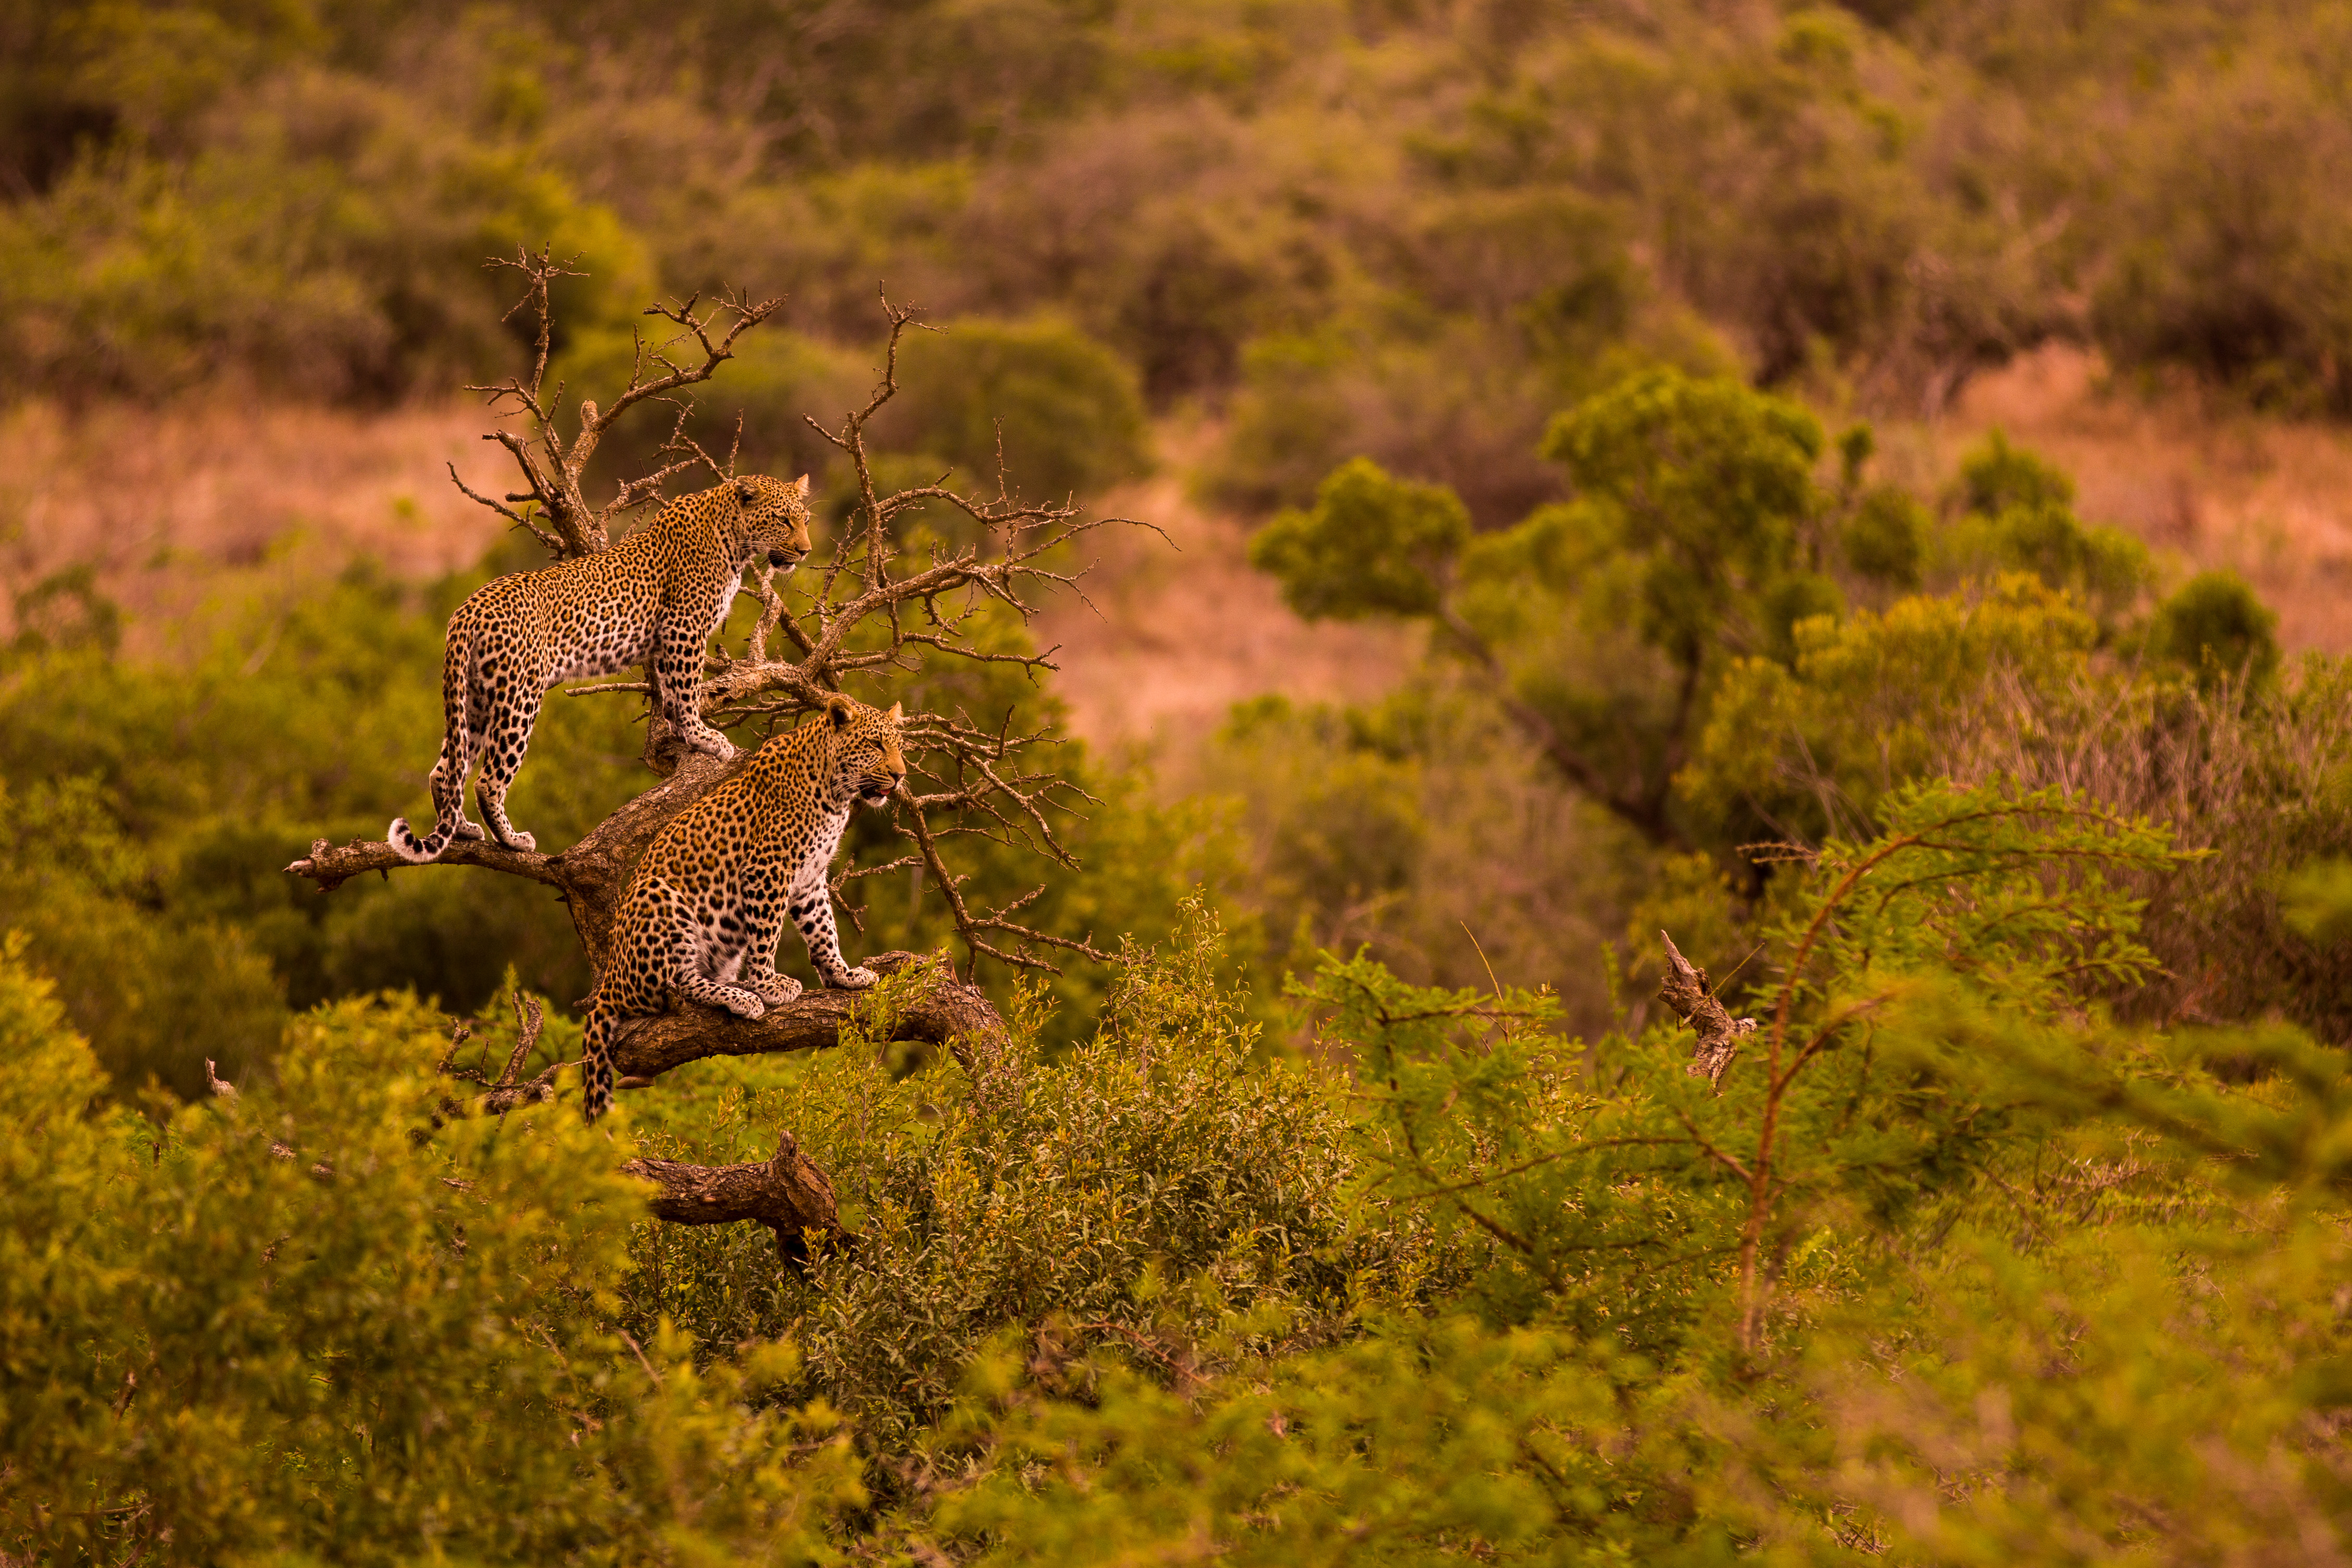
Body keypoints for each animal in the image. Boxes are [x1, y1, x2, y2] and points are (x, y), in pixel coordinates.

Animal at [388, 473, 816, 863]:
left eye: (806, 520)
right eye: (782, 519)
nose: (806, 551)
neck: (732, 537)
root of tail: (468, 608)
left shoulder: (666, 639)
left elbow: (670, 692)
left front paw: (679, 731)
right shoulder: (684, 628)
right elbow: (687, 688)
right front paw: (703, 736)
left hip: (474, 698)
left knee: (446, 771)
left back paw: (462, 828)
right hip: (519, 695)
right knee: (488, 780)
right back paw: (512, 840)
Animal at [578, 692, 906, 1120]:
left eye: (899, 746)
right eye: (875, 745)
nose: (900, 777)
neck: (835, 793)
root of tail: (610, 982)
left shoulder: (810, 878)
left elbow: (823, 929)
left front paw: (842, 975)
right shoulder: (768, 869)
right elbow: (767, 934)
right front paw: (769, 985)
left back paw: (736, 986)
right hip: (660, 898)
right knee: (678, 984)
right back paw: (742, 996)